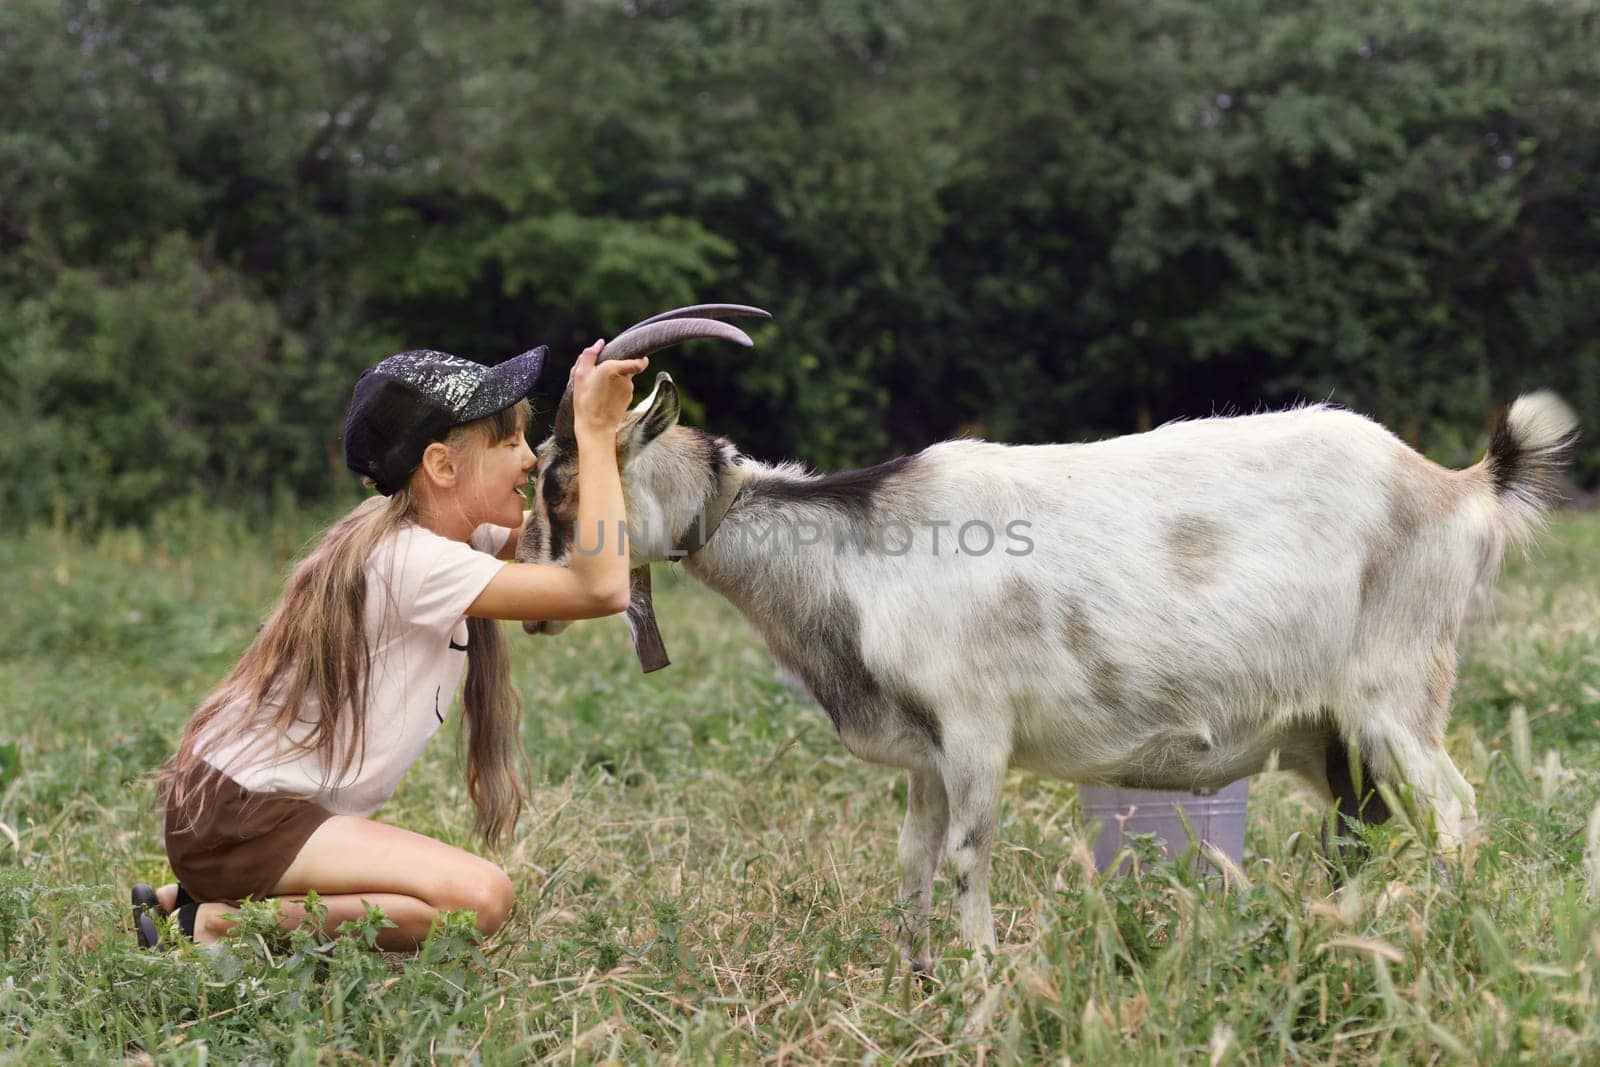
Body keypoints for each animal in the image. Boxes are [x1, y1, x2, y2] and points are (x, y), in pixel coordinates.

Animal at [515, 310, 1574, 966]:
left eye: (561, 477)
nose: (532, 603)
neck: (861, 551)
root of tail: (1456, 485)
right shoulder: (926, 752)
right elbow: (912, 859)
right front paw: (917, 979)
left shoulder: (978, 726)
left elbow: (968, 854)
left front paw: (983, 979)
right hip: (1330, 732)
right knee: (1364, 828)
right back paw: (1339, 931)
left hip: (1395, 690)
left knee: (1454, 808)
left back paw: (1442, 933)